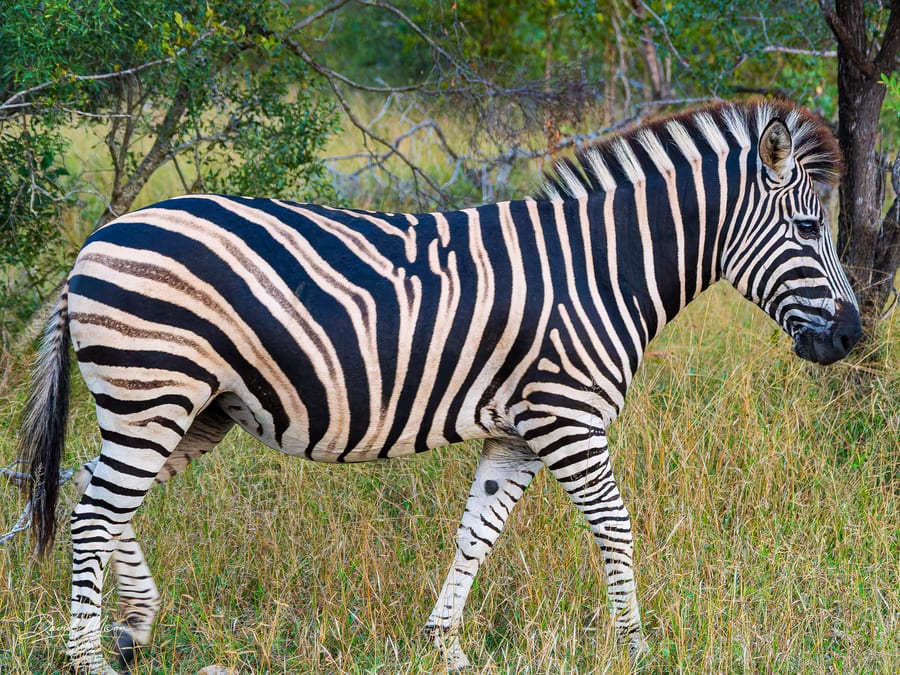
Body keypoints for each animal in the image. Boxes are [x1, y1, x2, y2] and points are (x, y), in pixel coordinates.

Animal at [19, 100, 861, 674]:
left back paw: (133, 624)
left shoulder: (519, 433)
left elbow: (475, 533)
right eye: (810, 232)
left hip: (191, 406)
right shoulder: (569, 418)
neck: (601, 269)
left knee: (91, 486)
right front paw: (639, 647)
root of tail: (94, 241)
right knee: (94, 511)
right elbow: (616, 528)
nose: (852, 336)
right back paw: (88, 655)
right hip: (153, 390)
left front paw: (445, 646)